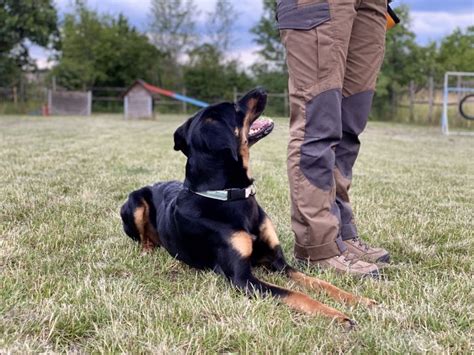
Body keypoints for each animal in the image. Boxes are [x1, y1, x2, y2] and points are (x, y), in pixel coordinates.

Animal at [120, 87, 376, 326]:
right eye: (234, 107)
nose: (261, 89)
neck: (230, 197)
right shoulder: (242, 279)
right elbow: (296, 294)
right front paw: (336, 315)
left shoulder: (278, 263)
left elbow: (318, 282)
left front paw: (357, 299)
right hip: (135, 201)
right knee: (142, 237)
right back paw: (147, 249)